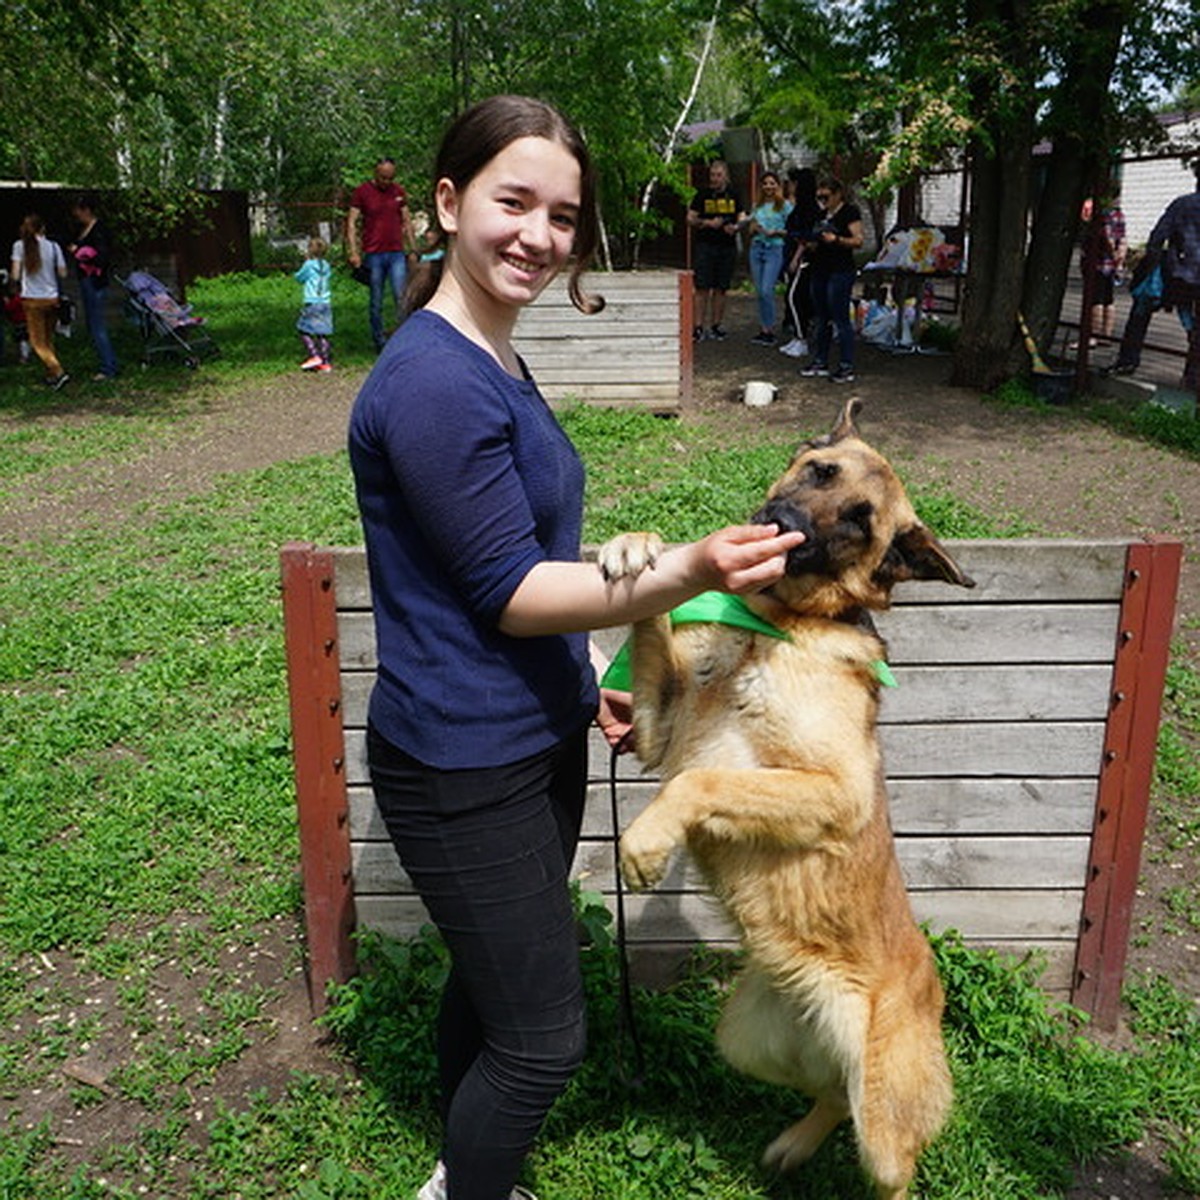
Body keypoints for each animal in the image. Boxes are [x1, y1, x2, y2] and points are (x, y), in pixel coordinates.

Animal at [600, 398, 974, 1195]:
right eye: (819, 471)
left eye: (860, 521)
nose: (783, 525)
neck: (774, 624)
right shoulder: (657, 731)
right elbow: (656, 625)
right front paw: (636, 548)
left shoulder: (834, 791)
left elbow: (702, 780)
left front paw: (645, 844)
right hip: (744, 1040)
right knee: (829, 1094)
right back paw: (794, 1145)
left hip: (884, 1124)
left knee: (892, 1164)